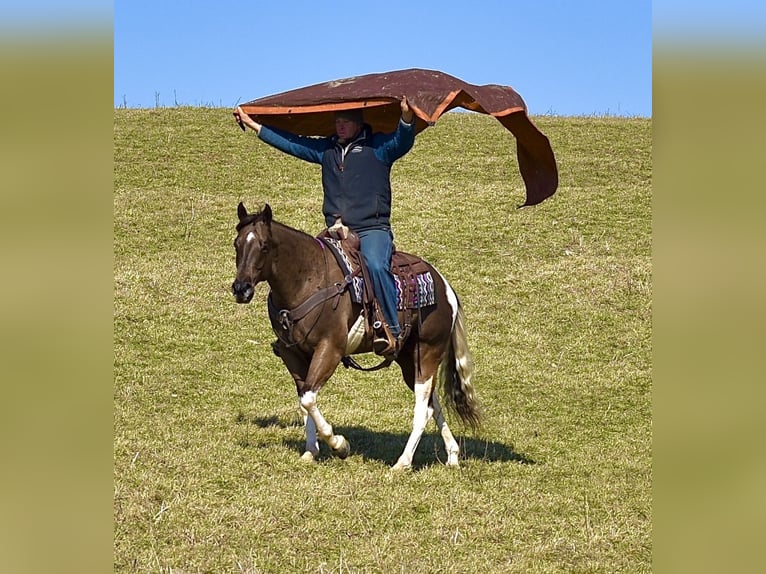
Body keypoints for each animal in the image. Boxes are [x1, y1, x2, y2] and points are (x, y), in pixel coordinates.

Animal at [231, 202, 481, 470]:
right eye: (237, 244)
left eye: (264, 246)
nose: (241, 288)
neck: (309, 278)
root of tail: (446, 288)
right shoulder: (293, 354)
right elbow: (304, 397)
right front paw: (310, 451)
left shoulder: (329, 349)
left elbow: (308, 399)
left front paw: (339, 444)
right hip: (409, 359)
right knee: (432, 404)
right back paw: (452, 455)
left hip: (427, 352)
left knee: (423, 409)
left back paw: (402, 463)